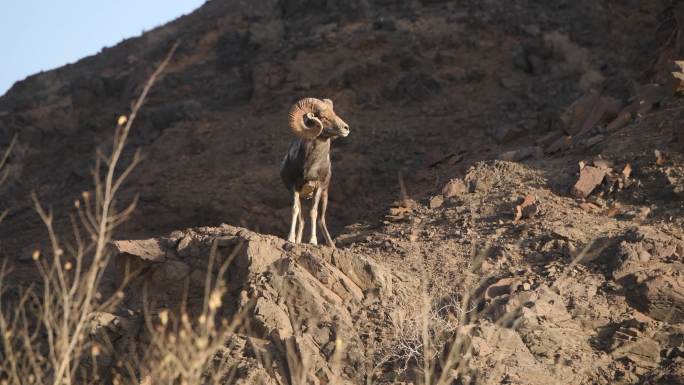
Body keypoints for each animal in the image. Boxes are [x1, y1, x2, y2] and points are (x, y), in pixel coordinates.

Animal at [280, 97, 350, 248]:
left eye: (334, 112)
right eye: (323, 117)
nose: (346, 128)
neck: (310, 166)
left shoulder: (318, 187)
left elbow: (313, 213)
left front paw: (313, 241)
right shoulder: (294, 188)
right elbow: (294, 210)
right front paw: (290, 239)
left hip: (324, 196)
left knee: (321, 219)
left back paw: (331, 245)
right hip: (302, 197)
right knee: (301, 220)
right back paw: (298, 241)